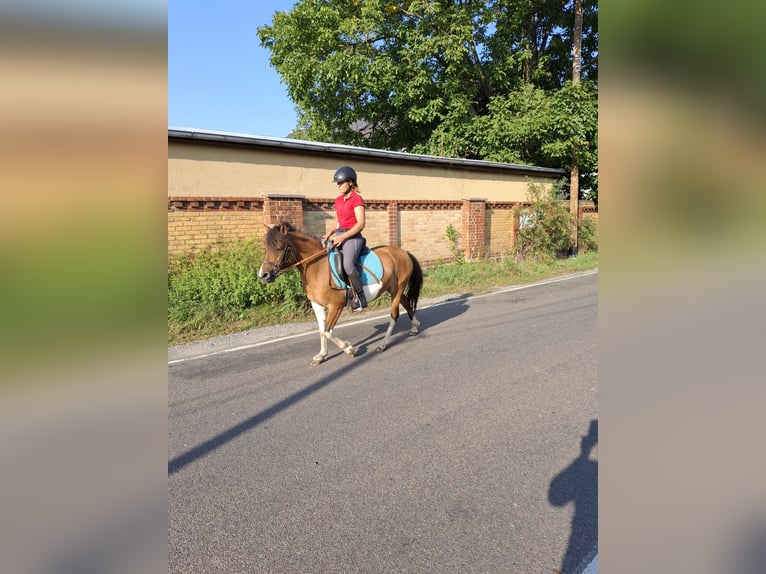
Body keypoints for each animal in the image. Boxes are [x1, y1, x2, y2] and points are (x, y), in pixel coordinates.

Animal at [260, 223, 424, 366]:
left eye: (279, 248)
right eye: (265, 248)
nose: (263, 275)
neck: (318, 268)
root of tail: (404, 252)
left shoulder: (336, 305)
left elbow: (328, 331)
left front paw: (349, 349)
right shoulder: (317, 305)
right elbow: (322, 330)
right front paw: (322, 356)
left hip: (397, 289)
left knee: (394, 314)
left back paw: (383, 344)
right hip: (393, 289)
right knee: (407, 303)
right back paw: (414, 328)